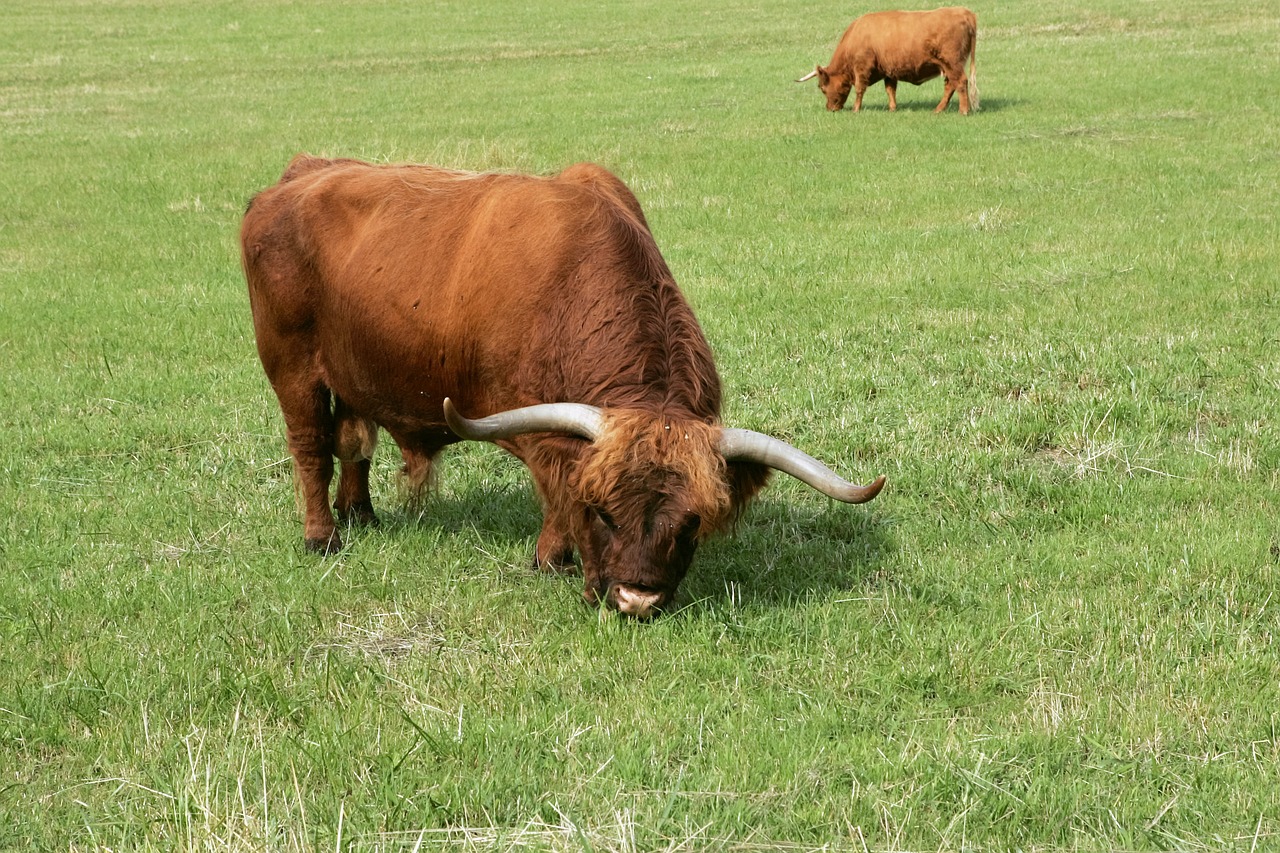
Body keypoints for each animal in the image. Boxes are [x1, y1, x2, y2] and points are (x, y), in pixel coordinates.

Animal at [240, 156, 885, 614]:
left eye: (690, 523)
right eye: (602, 512)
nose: (636, 599)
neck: (574, 289)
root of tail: (299, 175)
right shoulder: (544, 431)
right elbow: (557, 492)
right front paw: (553, 560)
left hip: (354, 373)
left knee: (354, 442)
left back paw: (361, 514)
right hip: (292, 368)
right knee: (311, 448)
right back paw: (323, 537)